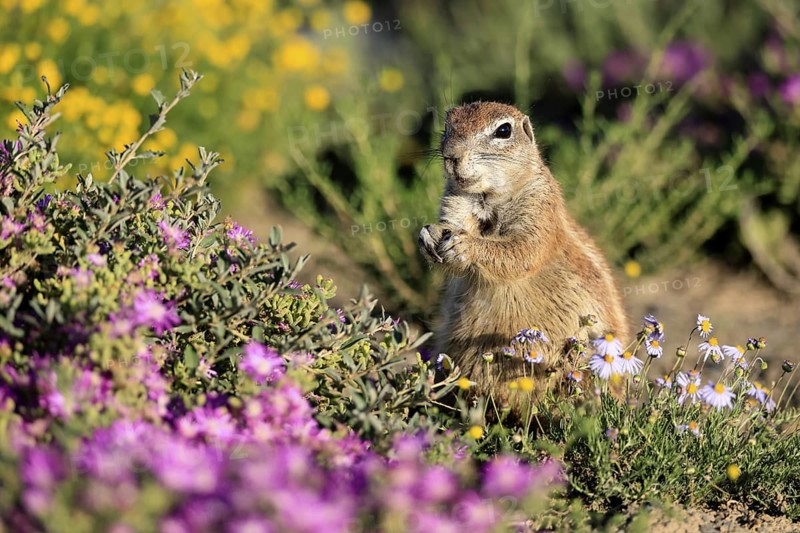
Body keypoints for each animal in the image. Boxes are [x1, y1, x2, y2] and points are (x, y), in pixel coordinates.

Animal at [419, 101, 629, 409]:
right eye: (448, 124)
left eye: (504, 131)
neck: (488, 197)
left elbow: (521, 251)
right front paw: (429, 235)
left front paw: (467, 245)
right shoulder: (455, 202)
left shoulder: (540, 208)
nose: (451, 154)